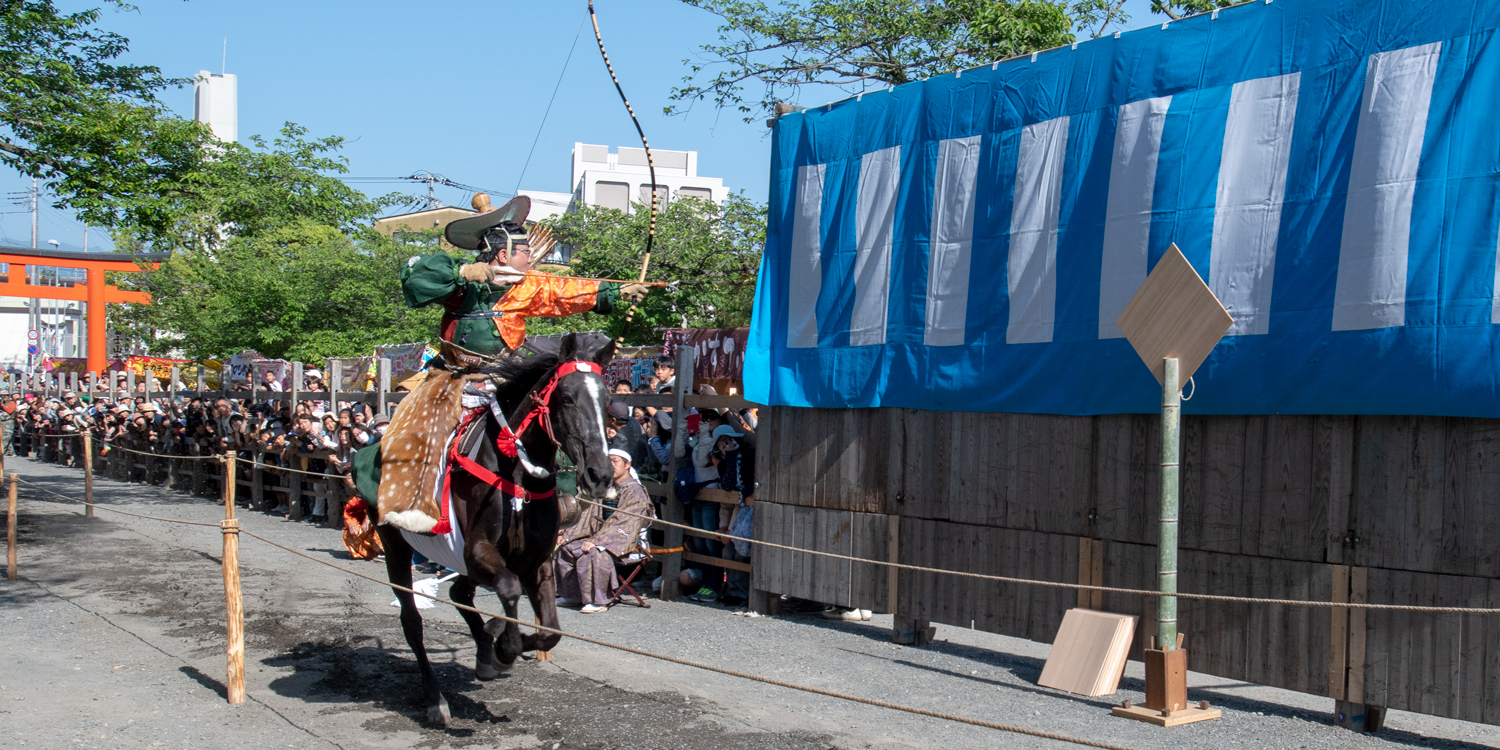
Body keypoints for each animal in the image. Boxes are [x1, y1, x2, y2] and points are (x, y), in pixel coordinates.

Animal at [375, 333, 615, 726]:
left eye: (608, 401)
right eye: (566, 397)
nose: (600, 475)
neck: (516, 475)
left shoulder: (536, 561)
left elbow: (550, 631)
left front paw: (496, 640)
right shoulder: (479, 551)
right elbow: (509, 590)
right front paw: (504, 646)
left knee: (459, 592)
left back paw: (484, 648)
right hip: (395, 544)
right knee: (412, 621)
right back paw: (436, 699)